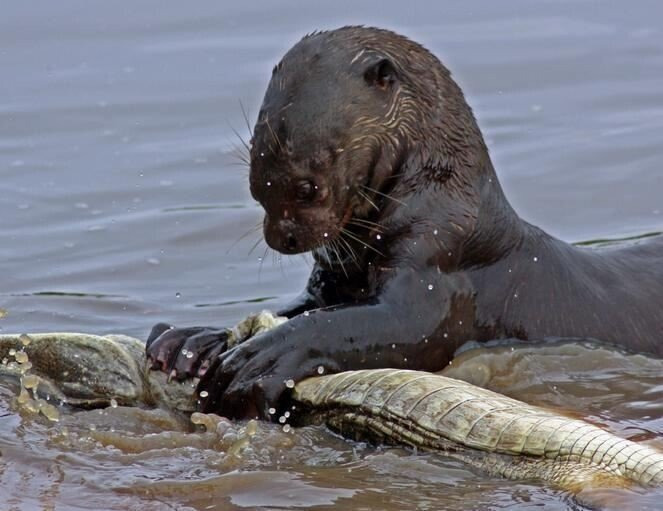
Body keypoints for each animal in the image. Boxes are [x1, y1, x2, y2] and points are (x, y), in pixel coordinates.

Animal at [147, 26, 663, 422]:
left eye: (308, 188)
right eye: (256, 185)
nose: (282, 238)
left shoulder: (439, 260)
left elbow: (387, 325)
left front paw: (257, 361)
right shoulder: (334, 281)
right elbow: (307, 308)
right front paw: (192, 341)